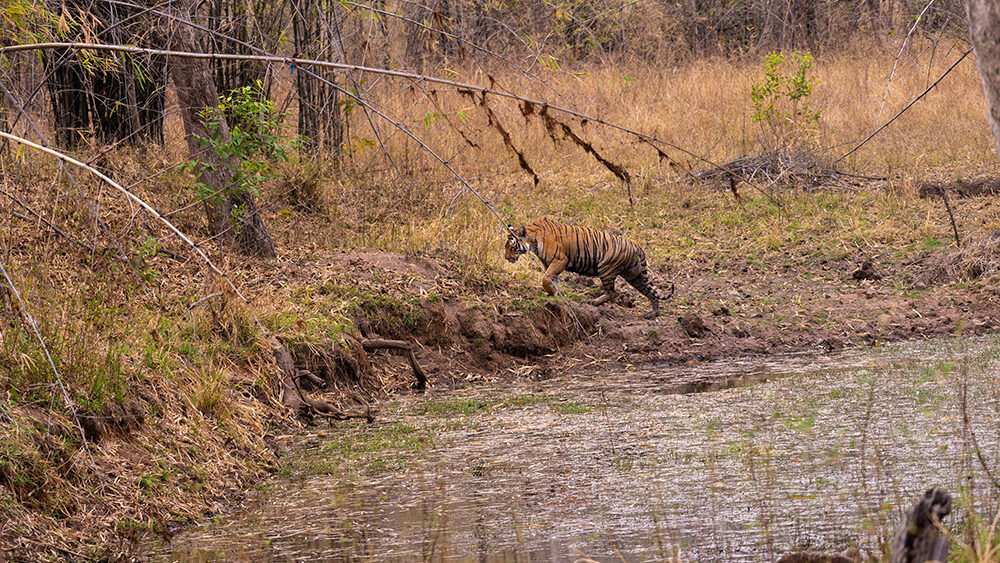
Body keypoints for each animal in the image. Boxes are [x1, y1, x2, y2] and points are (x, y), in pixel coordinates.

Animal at [500, 218, 672, 320]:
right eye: (506, 246)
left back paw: (594, 302)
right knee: (650, 291)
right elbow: (551, 280)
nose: (507, 258)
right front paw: (554, 295)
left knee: (612, 292)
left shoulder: (560, 260)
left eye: (512, 246)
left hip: (606, 269)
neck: (533, 241)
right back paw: (653, 313)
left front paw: (552, 293)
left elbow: (545, 279)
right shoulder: (548, 264)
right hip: (633, 274)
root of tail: (634, 245)